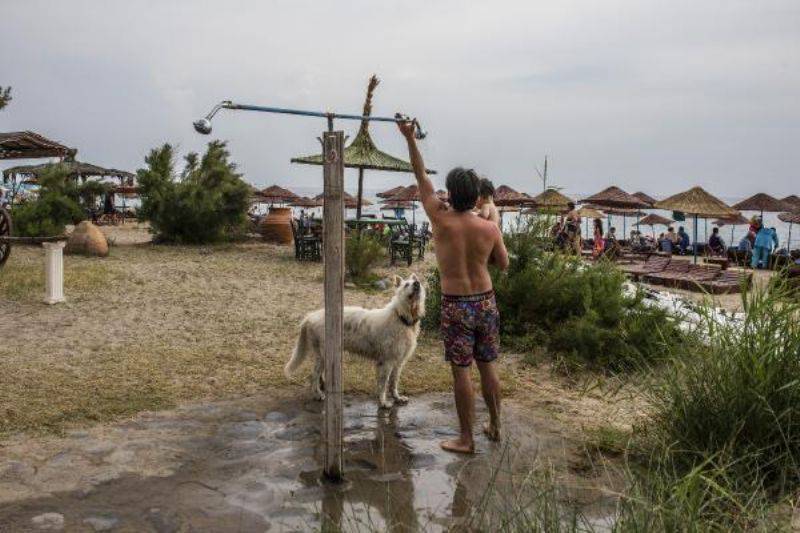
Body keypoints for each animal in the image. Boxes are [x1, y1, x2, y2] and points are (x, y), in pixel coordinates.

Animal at [286, 274, 424, 408]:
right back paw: (317, 394)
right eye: (406, 284)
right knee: (313, 375)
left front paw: (397, 398)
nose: (417, 284)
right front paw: (383, 402)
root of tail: (310, 317)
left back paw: (323, 386)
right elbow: (383, 384)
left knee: (319, 374)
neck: (401, 317)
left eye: (417, 281)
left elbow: (393, 383)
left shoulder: (398, 362)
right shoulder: (386, 362)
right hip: (324, 355)